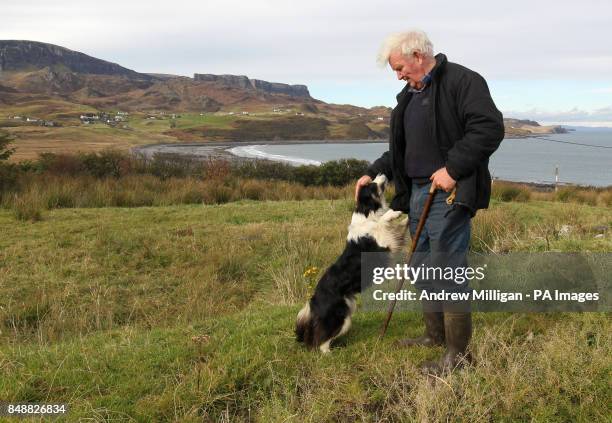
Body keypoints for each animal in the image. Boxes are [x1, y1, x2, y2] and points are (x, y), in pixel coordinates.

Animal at [296, 174, 406, 352]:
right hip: (340, 317)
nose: (382, 173)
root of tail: (313, 300)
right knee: (320, 339)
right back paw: (329, 353)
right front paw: (394, 213)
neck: (367, 212)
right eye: (372, 185)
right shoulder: (382, 244)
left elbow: (398, 227)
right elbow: (383, 222)